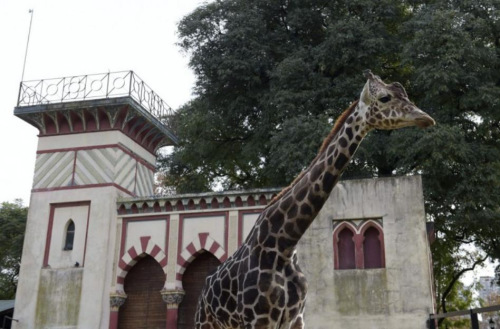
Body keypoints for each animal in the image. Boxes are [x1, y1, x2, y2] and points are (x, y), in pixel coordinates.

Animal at [193, 70, 436, 326]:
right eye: (384, 98)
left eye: (404, 93)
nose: (425, 118)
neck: (284, 245)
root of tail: (203, 292)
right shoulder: (259, 319)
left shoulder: (296, 318)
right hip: (205, 322)